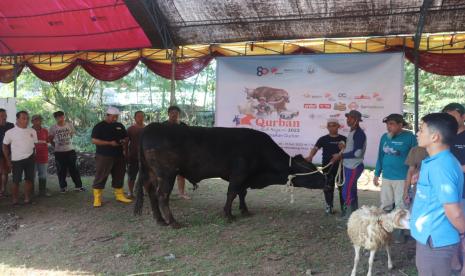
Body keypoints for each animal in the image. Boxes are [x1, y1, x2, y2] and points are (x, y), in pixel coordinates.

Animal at [134, 124, 326, 227]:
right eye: (311, 171)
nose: (326, 179)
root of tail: (151, 126)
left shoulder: (245, 178)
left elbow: (242, 193)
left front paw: (244, 210)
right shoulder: (239, 174)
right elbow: (232, 193)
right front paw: (228, 214)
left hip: (152, 174)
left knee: (151, 192)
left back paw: (159, 220)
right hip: (167, 174)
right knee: (162, 195)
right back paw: (173, 222)